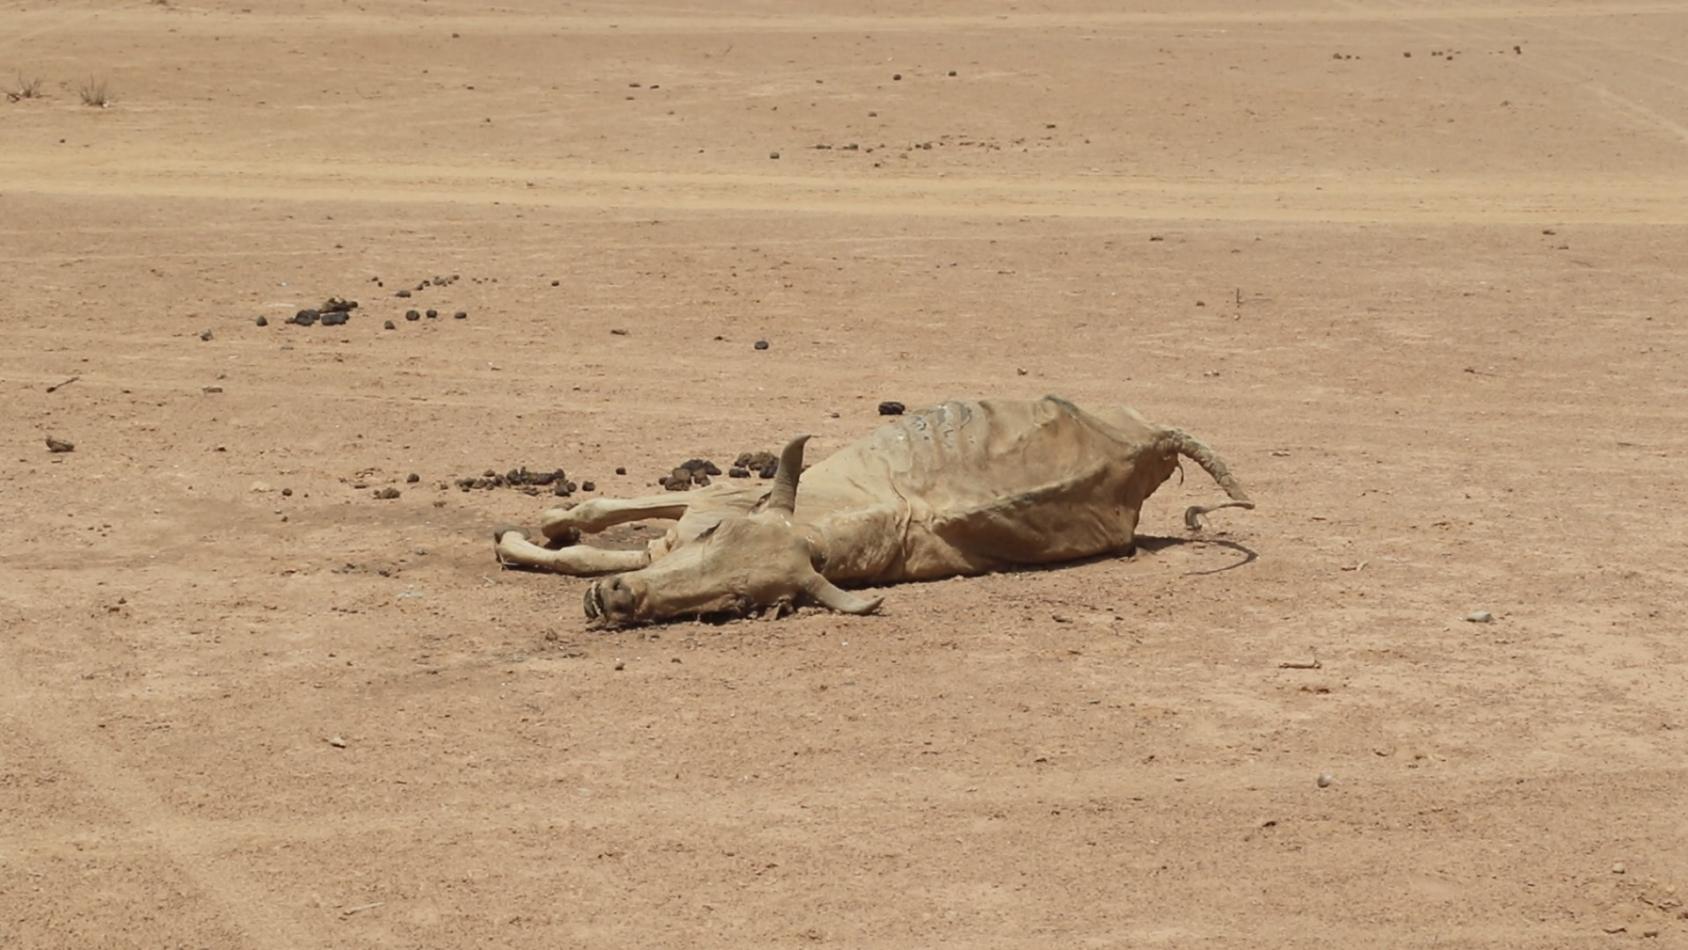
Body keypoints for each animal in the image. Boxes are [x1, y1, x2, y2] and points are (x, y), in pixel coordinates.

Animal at [493, 396, 1253, 627]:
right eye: (716, 537)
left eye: (742, 602)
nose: (619, 600)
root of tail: (1154, 439)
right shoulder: (715, 500)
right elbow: (604, 519)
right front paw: (544, 528)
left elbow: (592, 544)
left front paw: (520, 540)